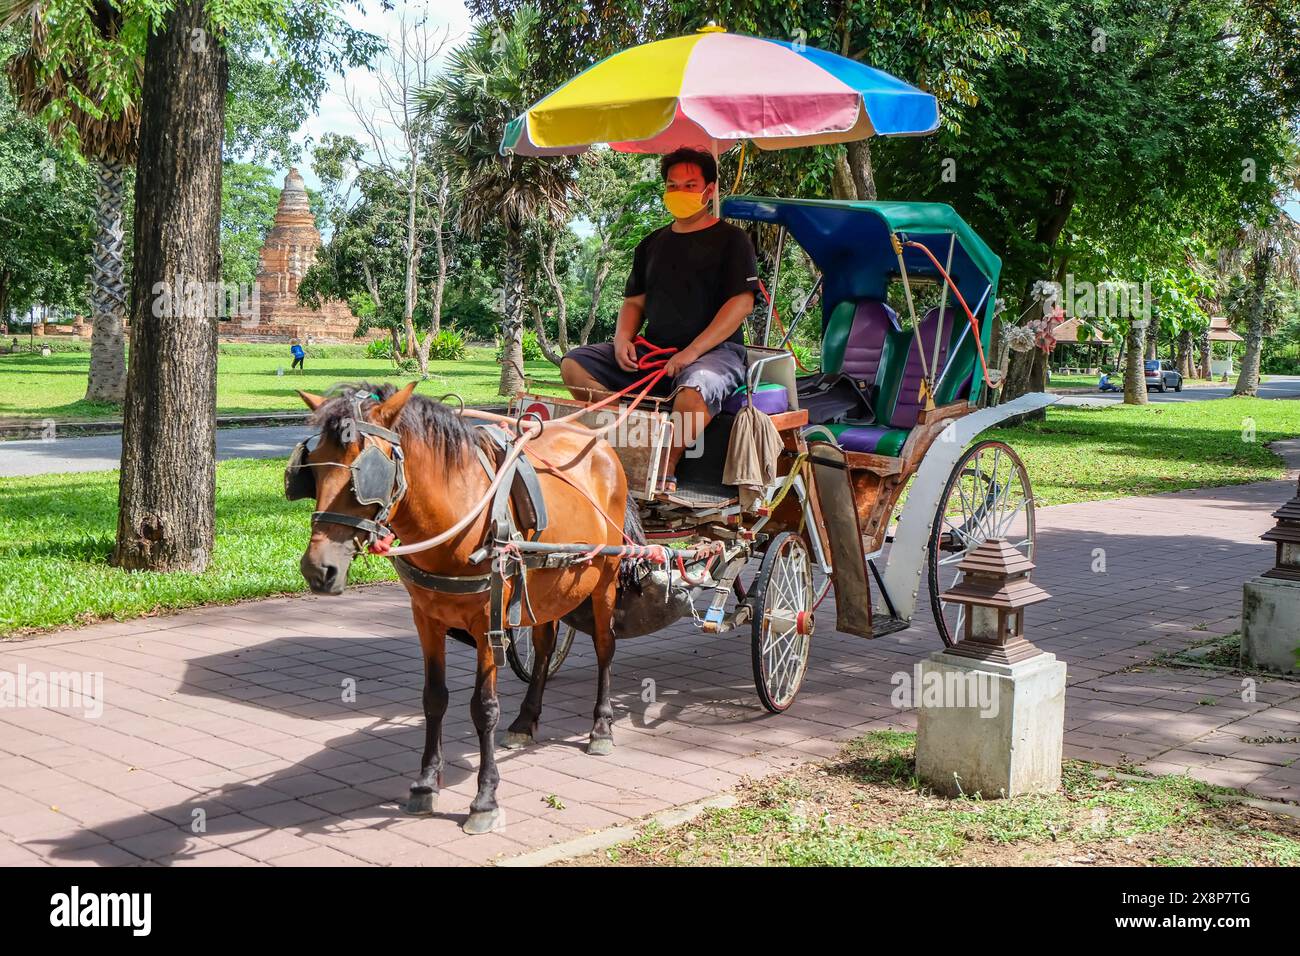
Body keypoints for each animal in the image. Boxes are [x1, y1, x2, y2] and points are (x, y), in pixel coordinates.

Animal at [295, 379, 639, 832]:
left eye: (365, 472)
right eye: (312, 467)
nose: (319, 569)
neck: (457, 516)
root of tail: (599, 443)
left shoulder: (486, 620)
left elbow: (484, 707)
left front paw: (485, 800)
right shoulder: (426, 618)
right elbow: (433, 698)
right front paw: (426, 783)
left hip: (604, 578)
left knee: (604, 646)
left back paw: (601, 727)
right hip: (546, 585)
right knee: (545, 646)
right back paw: (526, 720)